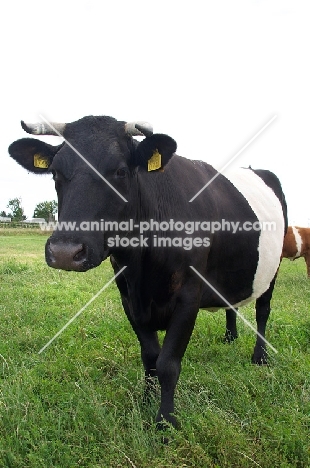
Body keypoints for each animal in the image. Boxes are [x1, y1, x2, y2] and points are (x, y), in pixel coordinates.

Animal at [7, 115, 288, 430]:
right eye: (55, 172)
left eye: (120, 170)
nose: (66, 252)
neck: (144, 268)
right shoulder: (128, 297)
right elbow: (150, 357)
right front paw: (145, 401)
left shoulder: (188, 296)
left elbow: (168, 364)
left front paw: (165, 421)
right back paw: (230, 338)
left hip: (274, 266)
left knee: (263, 310)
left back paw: (260, 357)